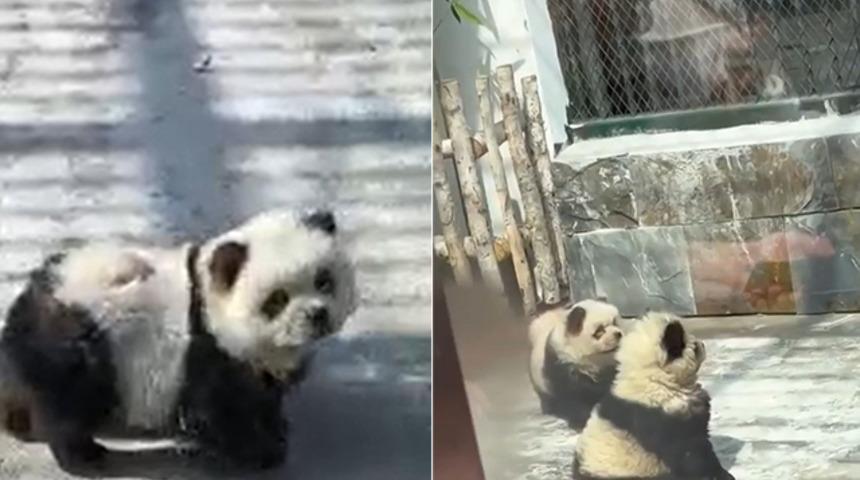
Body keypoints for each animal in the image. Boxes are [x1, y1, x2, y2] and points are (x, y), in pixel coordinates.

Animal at [0, 208, 357, 471]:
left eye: (324, 281)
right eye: (277, 299)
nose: (317, 316)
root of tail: (26, 302)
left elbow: (264, 395)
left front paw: (277, 428)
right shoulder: (203, 350)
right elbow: (214, 411)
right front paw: (261, 452)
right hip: (80, 342)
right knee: (67, 403)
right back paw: (83, 456)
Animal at [528, 299, 623, 431]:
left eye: (615, 322)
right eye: (599, 331)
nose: (618, 334)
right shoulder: (563, 367)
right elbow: (572, 399)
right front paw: (580, 423)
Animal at [572, 311, 733, 480]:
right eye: (691, 345)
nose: (702, 344)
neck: (653, 378)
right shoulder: (662, 418)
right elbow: (690, 451)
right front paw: (719, 474)